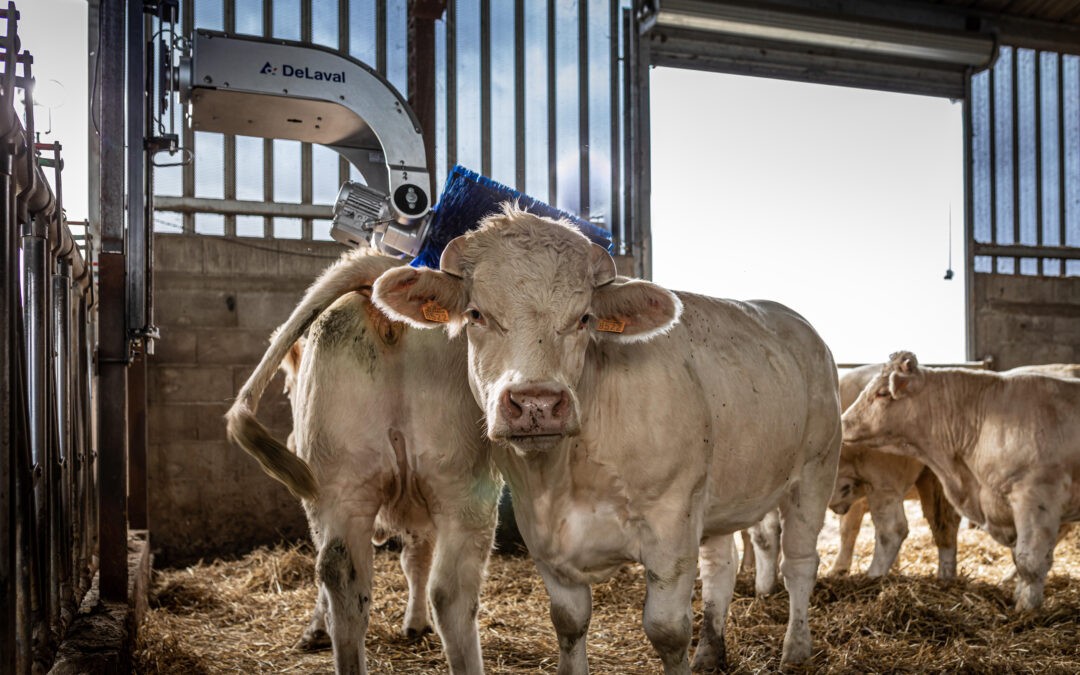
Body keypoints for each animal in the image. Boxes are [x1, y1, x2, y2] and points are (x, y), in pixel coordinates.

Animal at [226, 247, 501, 673]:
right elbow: (416, 556)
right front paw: (414, 623)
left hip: (347, 482)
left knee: (341, 575)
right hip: (457, 483)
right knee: (444, 591)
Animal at [371, 208, 842, 669]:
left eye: (584, 319)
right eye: (476, 314)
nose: (537, 402)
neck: (566, 474)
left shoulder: (672, 526)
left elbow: (667, 631)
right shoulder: (543, 537)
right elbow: (569, 622)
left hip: (815, 473)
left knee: (800, 563)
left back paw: (795, 651)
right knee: (720, 569)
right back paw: (709, 652)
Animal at [842, 352, 1080, 609]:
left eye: (882, 393)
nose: (842, 422)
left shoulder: (1036, 497)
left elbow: (1030, 562)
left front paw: (1026, 610)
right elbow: (1019, 558)